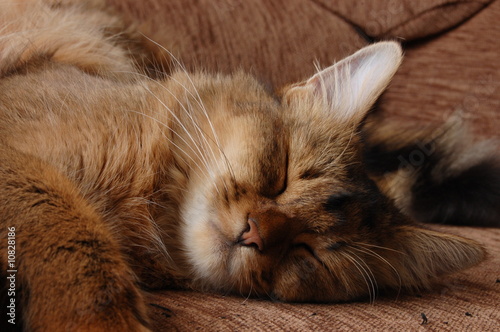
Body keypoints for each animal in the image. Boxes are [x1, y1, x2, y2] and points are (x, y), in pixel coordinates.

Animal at [0, 0, 496, 332]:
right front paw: (98, 320)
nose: (254, 233)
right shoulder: (23, 160)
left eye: (310, 252)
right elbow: (70, 234)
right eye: (281, 173)